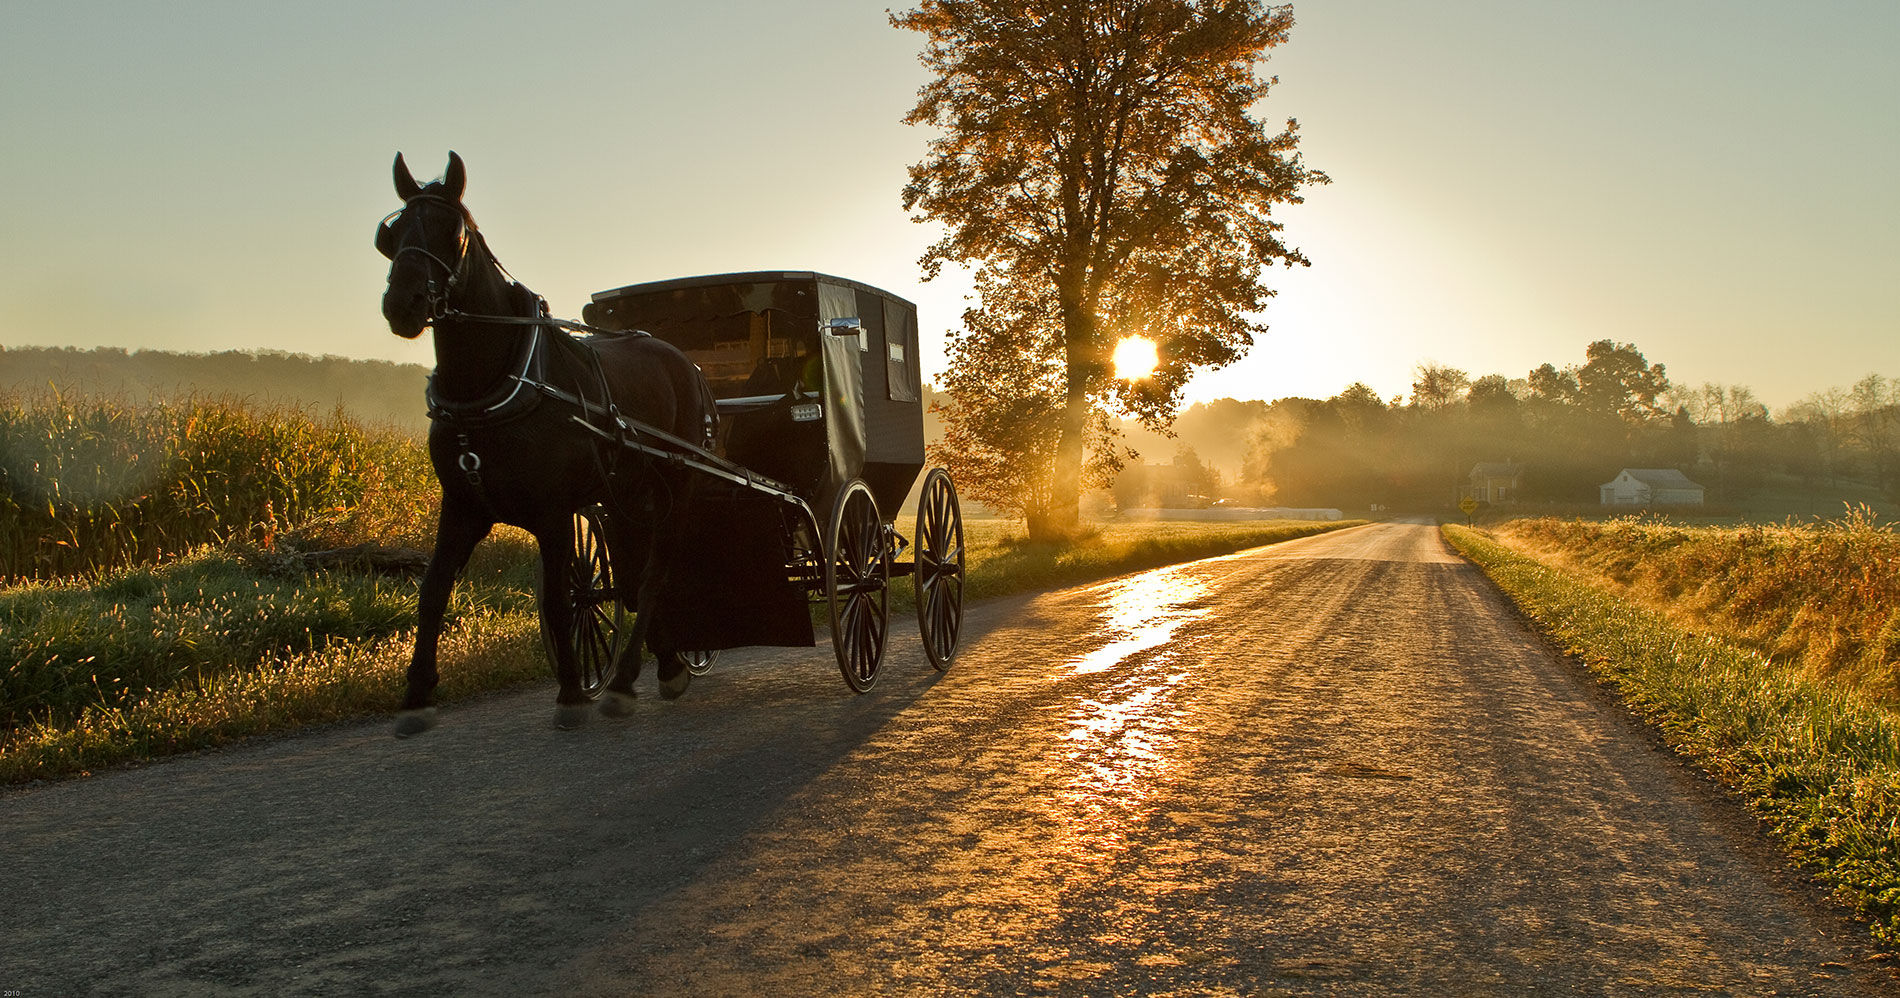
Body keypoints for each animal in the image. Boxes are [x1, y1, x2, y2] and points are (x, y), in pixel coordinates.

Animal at [378, 152, 714, 733]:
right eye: (393, 234)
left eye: (452, 231)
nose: (404, 303)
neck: (489, 387)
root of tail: (683, 361)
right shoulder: (462, 506)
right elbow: (433, 591)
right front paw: (417, 695)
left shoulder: (554, 511)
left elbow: (560, 600)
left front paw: (572, 695)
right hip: (626, 493)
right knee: (633, 575)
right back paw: (665, 664)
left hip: (678, 482)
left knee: (655, 574)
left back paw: (627, 680)